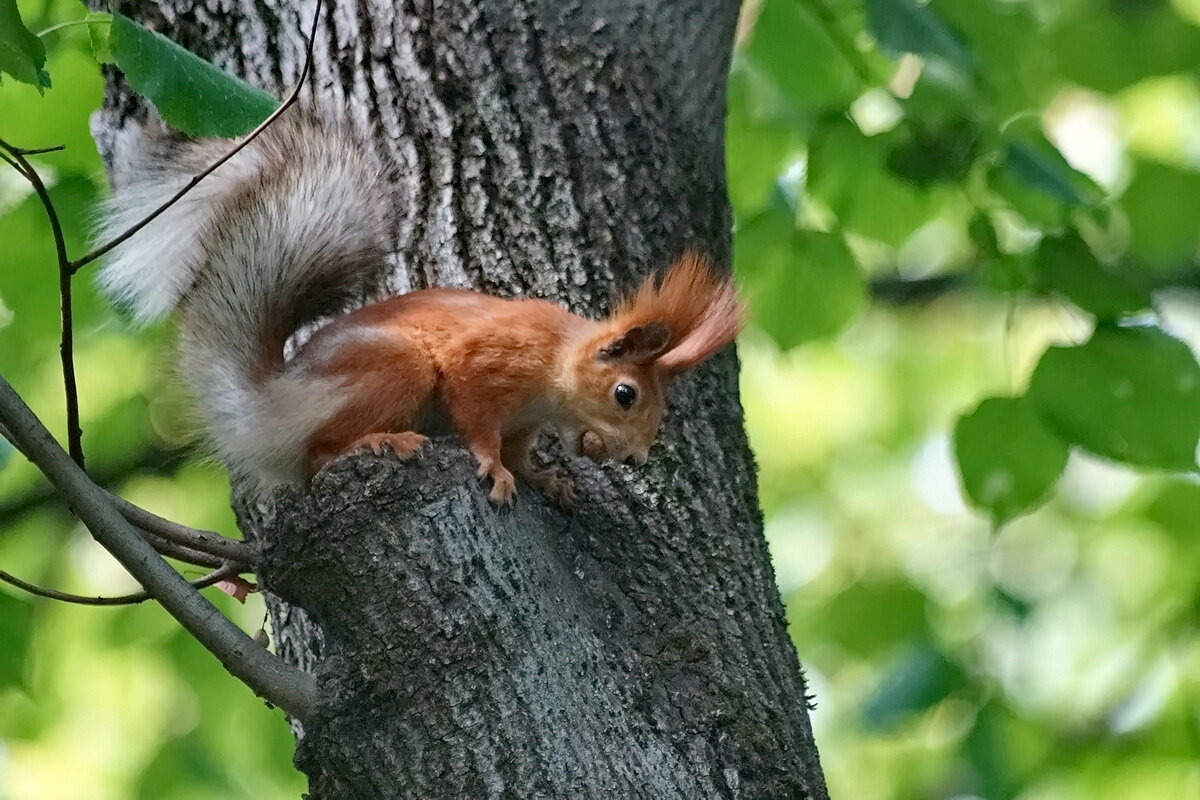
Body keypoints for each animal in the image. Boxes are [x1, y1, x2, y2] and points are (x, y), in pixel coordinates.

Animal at [98, 112, 744, 506]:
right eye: (625, 394)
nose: (635, 458)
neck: (554, 370)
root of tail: (266, 406)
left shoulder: (527, 420)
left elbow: (520, 449)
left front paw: (543, 477)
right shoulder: (484, 365)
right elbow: (478, 422)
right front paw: (496, 471)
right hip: (395, 369)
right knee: (316, 457)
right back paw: (378, 443)